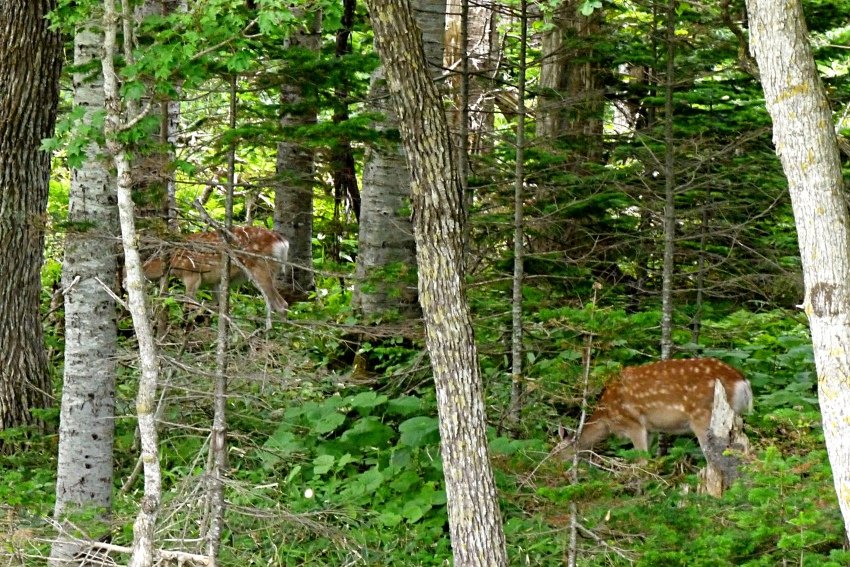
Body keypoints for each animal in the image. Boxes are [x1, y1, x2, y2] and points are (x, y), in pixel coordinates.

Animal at [144, 225, 290, 320]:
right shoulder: (214, 281)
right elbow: (220, 307)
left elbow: (189, 305)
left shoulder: (192, 274)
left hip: (261, 267)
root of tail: (282, 242)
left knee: (281, 305)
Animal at [556, 360, 748, 462]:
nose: (552, 465)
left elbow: (641, 462)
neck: (607, 418)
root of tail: (742, 381)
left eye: (556, 451)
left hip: (704, 416)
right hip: (732, 416)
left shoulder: (633, 423)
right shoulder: (650, 430)